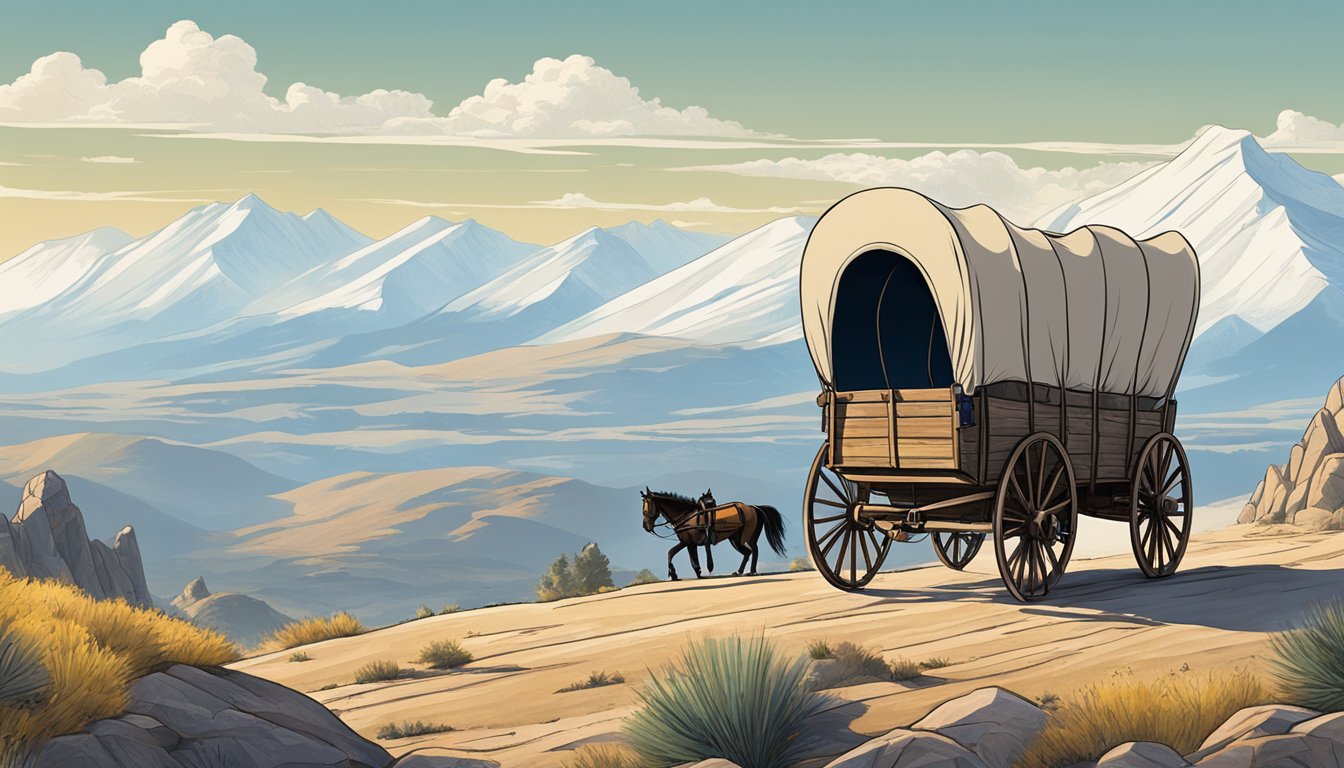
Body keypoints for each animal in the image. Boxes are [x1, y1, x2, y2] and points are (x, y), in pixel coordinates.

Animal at [639, 489, 784, 581]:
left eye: (645, 510)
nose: (646, 527)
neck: (688, 516)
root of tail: (753, 507)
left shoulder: (689, 543)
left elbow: (692, 560)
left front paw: (697, 572)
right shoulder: (685, 542)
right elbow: (671, 553)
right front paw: (674, 574)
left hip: (743, 538)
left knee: (752, 550)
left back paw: (750, 571)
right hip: (737, 539)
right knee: (749, 552)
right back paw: (742, 571)